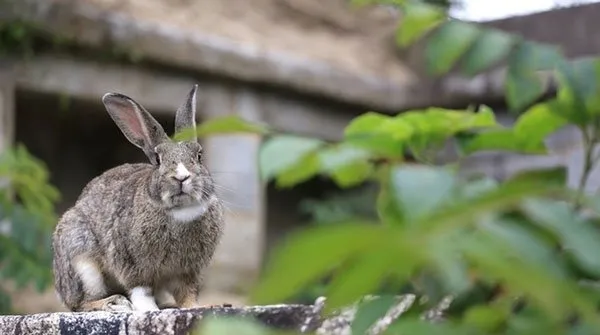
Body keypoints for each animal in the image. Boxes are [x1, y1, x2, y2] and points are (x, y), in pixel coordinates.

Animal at [50, 84, 225, 312]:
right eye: (158, 160)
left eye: (199, 156)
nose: (181, 177)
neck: (180, 211)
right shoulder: (132, 263)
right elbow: (140, 290)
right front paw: (149, 310)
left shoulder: (188, 271)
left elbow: (187, 293)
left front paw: (194, 307)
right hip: (81, 262)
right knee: (80, 303)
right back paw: (114, 302)